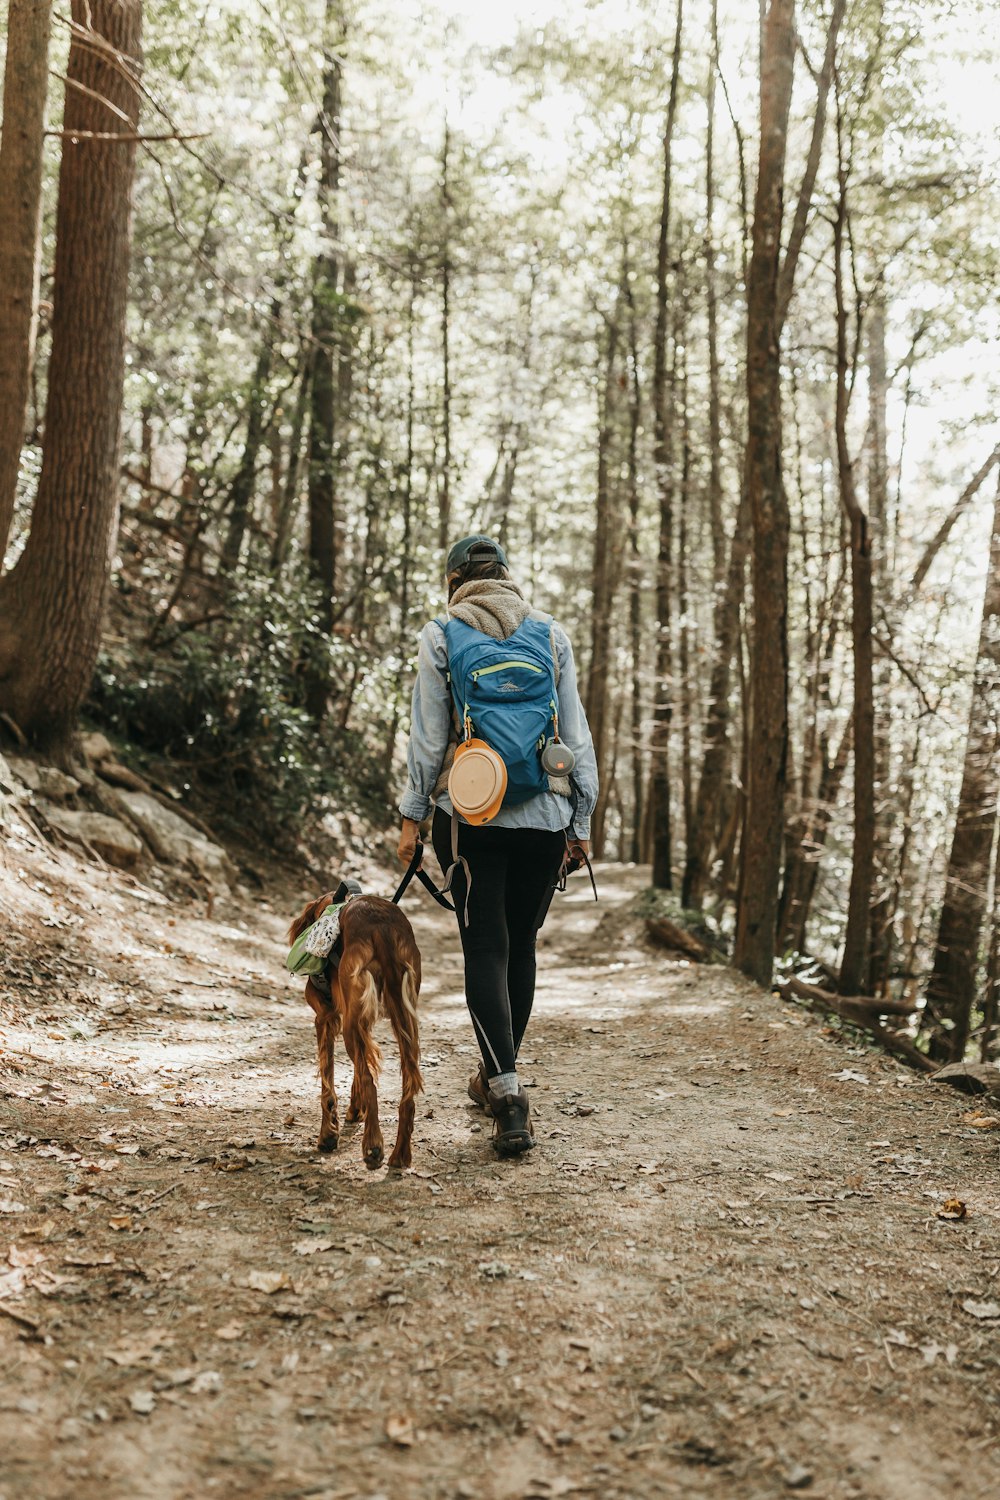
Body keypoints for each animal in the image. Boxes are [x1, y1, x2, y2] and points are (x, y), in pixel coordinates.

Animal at [284, 888, 422, 1170]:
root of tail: (381, 925)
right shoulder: (358, 1019)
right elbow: (359, 1070)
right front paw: (355, 1109)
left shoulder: (325, 1018)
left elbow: (328, 1084)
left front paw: (328, 1135)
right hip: (405, 1019)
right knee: (407, 1087)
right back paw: (400, 1155)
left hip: (350, 1027)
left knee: (371, 1082)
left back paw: (373, 1147)